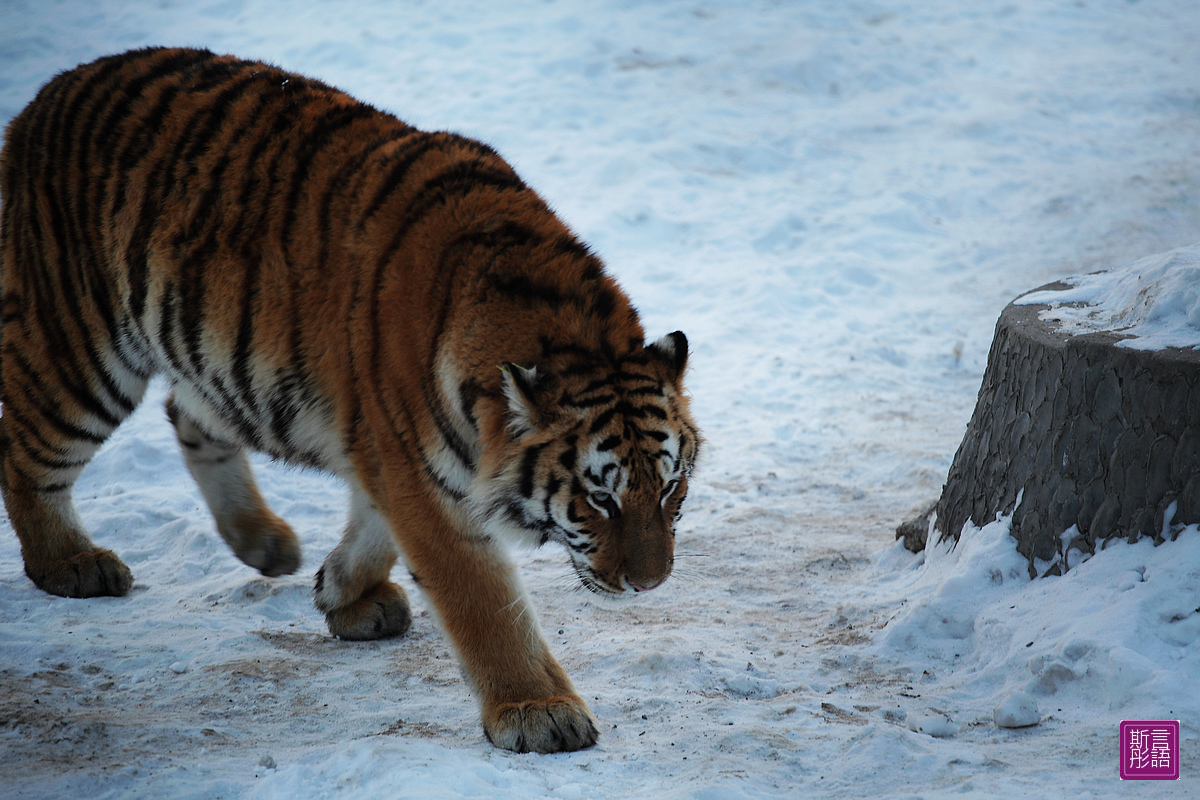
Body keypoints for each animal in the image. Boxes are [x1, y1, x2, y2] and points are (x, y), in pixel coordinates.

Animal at [0, 47, 700, 753]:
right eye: (599, 499)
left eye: (671, 488)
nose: (649, 584)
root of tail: (44, 97)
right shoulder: (420, 474)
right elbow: (484, 603)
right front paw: (540, 711)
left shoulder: (390, 448)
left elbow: (374, 525)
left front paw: (342, 591)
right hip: (78, 348)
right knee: (25, 453)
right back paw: (70, 564)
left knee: (187, 414)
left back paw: (266, 544)